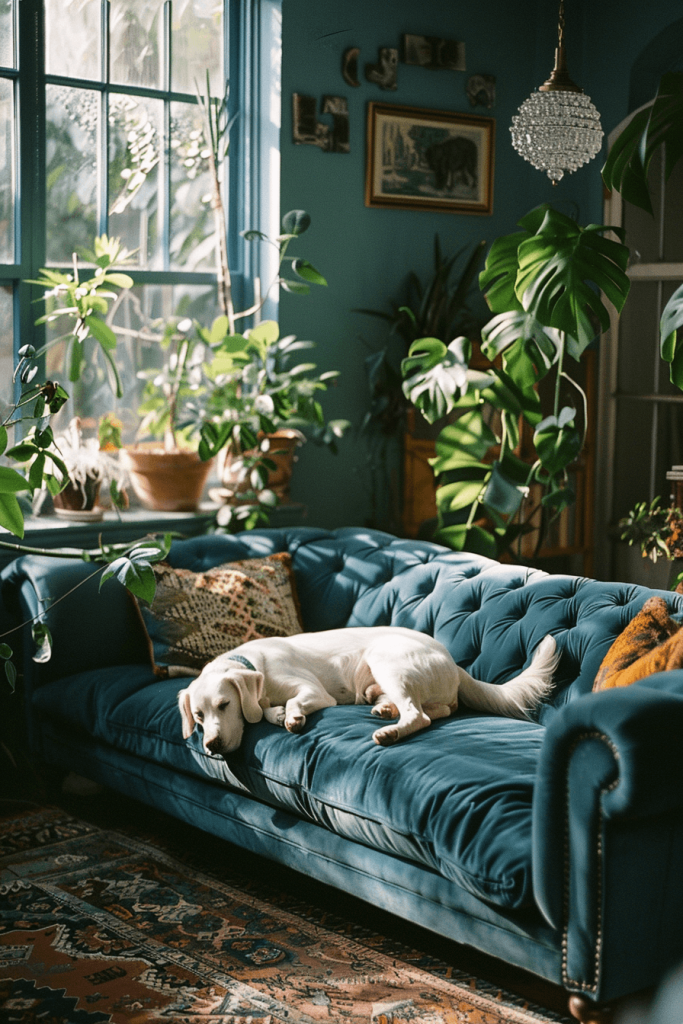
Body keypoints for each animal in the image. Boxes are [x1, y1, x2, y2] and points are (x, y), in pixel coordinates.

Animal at [178, 618, 561, 757]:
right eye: (199, 716)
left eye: (225, 705)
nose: (211, 745)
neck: (253, 664)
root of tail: (453, 662)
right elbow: (266, 711)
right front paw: (274, 713)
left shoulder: (315, 693)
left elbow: (294, 704)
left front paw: (292, 717)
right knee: (438, 710)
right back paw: (384, 707)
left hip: (385, 657)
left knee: (419, 716)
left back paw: (391, 731)